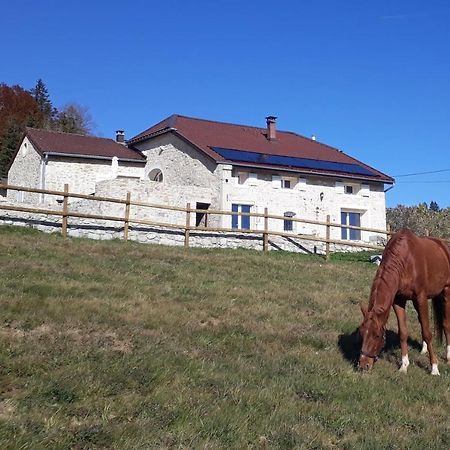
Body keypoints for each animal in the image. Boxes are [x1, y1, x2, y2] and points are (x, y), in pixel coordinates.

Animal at [358, 230, 450, 374]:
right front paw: (404, 365)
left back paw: (448, 356)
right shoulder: (398, 300)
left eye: (377, 336)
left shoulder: (421, 298)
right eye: (361, 333)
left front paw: (434, 367)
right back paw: (423, 349)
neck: (406, 260)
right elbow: (403, 332)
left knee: (446, 324)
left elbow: (427, 332)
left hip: (446, 291)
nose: (363, 365)